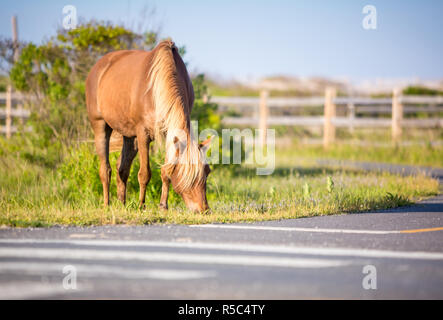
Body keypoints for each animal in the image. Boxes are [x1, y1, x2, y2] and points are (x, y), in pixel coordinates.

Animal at [86, 40, 213, 212]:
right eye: (188, 175)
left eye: (207, 171)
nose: (203, 209)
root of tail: (98, 67)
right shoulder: (143, 134)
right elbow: (144, 173)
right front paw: (141, 205)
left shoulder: (168, 133)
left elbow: (166, 170)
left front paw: (163, 206)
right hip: (100, 126)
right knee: (105, 169)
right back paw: (107, 204)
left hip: (129, 136)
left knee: (122, 168)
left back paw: (122, 203)